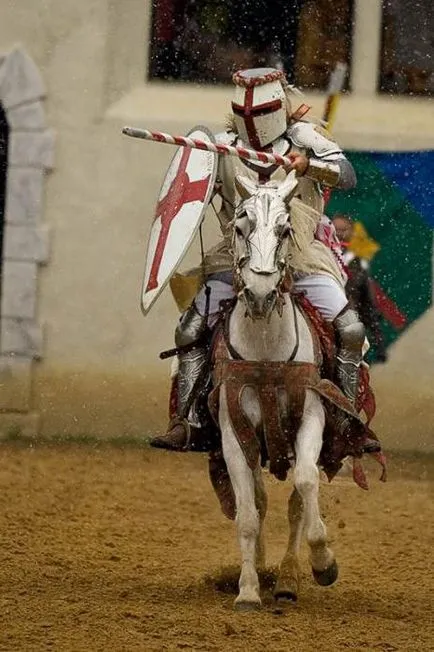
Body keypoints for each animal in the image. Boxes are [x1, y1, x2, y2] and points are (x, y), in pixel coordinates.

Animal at [219, 173, 338, 612]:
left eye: (286, 230)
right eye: (240, 227)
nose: (259, 293)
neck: (266, 353)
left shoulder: (312, 418)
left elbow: (304, 483)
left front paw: (324, 563)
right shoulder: (234, 434)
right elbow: (248, 515)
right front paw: (248, 589)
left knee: (296, 505)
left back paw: (288, 580)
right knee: (260, 500)